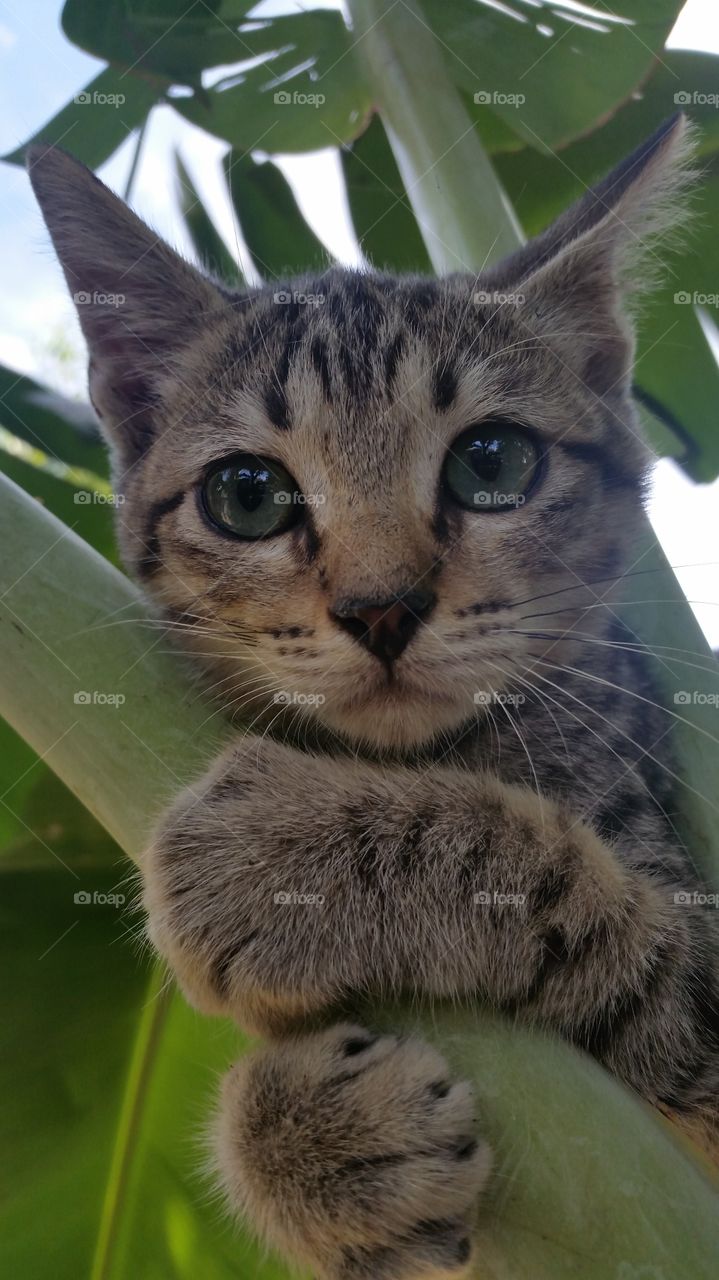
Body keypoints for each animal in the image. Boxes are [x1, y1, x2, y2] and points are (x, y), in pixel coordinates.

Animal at [30, 112, 716, 1280]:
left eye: (492, 462)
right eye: (247, 495)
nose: (381, 606)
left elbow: (579, 888)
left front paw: (287, 853)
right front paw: (307, 1151)